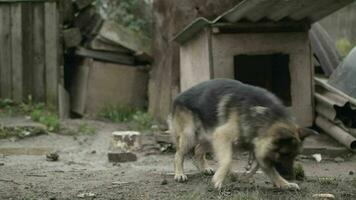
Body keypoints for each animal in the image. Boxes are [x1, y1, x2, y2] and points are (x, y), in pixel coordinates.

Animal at [170, 78, 318, 189]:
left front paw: (284, 184)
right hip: (190, 135)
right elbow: (227, 160)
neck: (263, 116)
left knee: (198, 150)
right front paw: (219, 179)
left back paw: (205, 168)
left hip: (210, 138)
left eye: (295, 155)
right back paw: (179, 174)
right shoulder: (222, 135)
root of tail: (178, 96)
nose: (291, 176)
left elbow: (271, 170)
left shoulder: (259, 150)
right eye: (285, 154)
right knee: (178, 155)